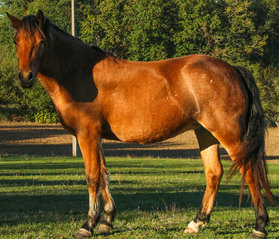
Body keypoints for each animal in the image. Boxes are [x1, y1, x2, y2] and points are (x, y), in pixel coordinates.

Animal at [7, 10, 274, 237]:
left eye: (41, 41)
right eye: (16, 41)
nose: (25, 77)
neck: (79, 72)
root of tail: (233, 69)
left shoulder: (87, 135)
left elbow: (92, 177)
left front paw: (88, 224)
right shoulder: (97, 137)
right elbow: (104, 175)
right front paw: (107, 221)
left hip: (229, 134)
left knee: (249, 171)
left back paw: (260, 225)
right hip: (205, 132)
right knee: (214, 173)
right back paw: (197, 222)